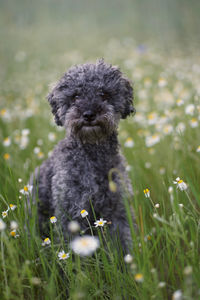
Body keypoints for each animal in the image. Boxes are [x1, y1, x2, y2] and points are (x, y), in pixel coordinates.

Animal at [30, 59, 137, 252]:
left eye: (104, 94)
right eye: (75, 96)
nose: (88, 114)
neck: (92, 155)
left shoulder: (117, 208)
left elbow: (123, 241)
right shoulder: (70, 212)